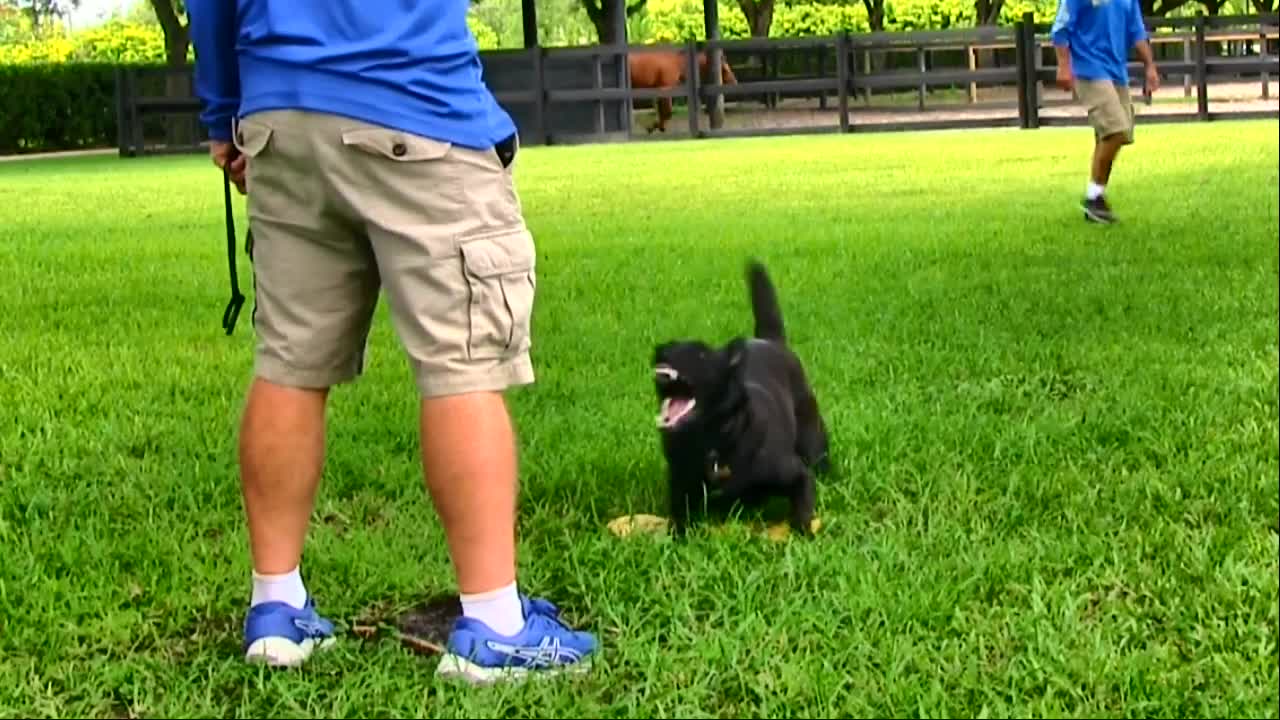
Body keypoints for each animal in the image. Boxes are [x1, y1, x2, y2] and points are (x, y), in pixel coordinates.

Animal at [650, 260, 829, 535]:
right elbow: (679, 518)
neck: (712, 445)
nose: (661, 352)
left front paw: (803, 533)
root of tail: (770, 340)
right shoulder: (680, 488)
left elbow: (802, 509)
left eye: (701, 354)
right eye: (667, 346)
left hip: (813, 441)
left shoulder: (798, 474)